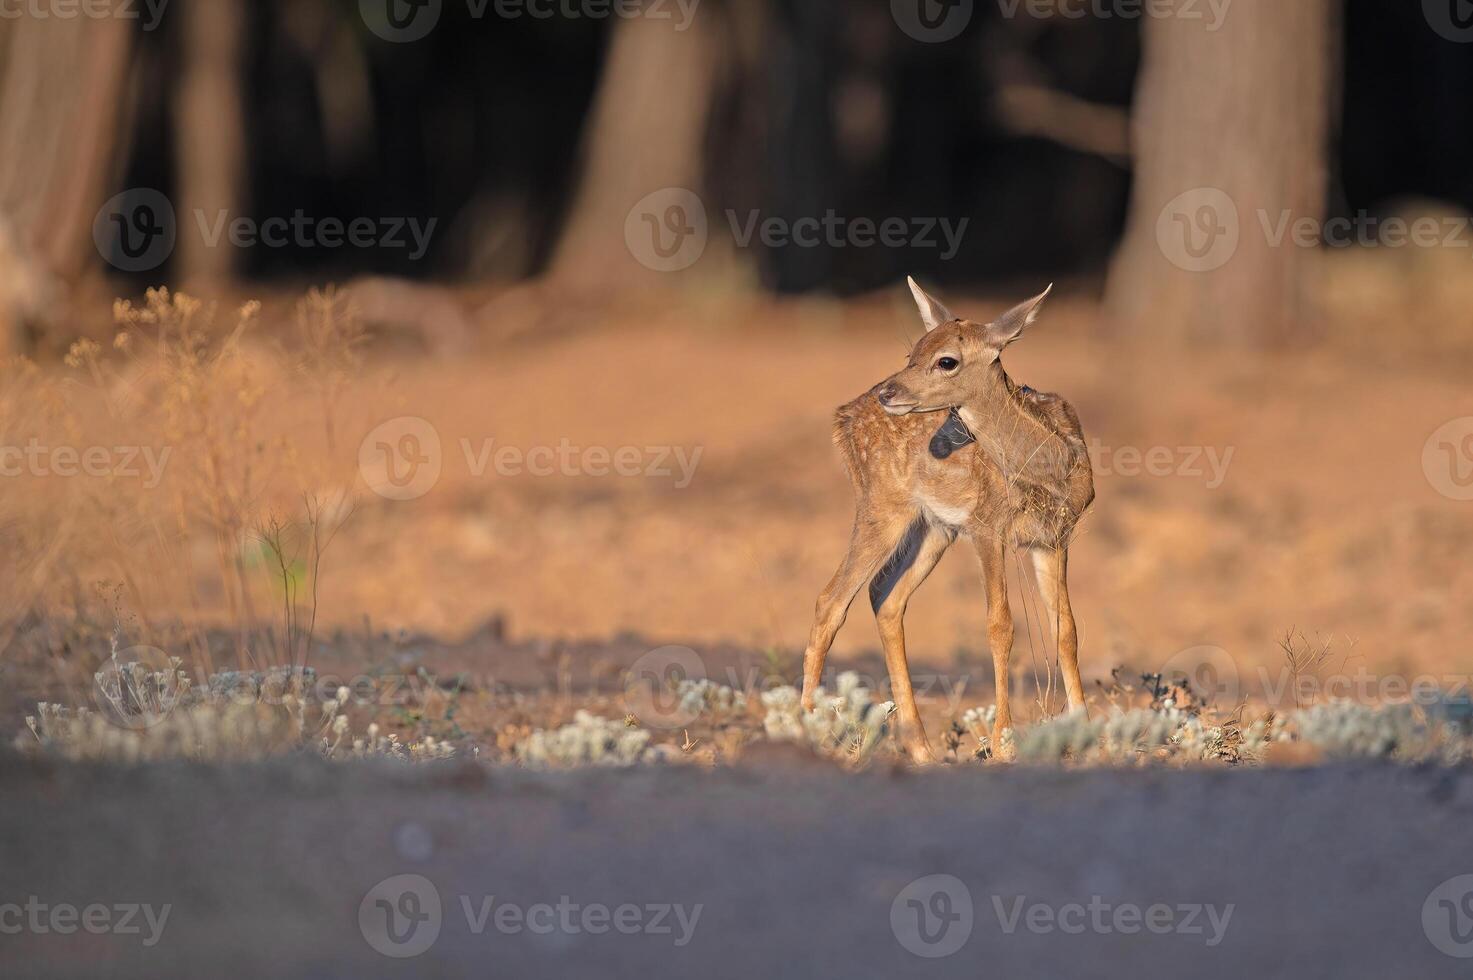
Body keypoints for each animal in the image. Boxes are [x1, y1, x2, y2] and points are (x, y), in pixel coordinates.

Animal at [807, 278, 1095, 760]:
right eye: (913, 352)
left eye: (946, 360)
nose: (889, 392)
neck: (1049, 465)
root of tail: (843, 416)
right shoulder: (986, 526)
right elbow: (1001, 626)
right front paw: (1003, 743)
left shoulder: (1054, 537)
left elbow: (1066, 630)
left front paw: (1089, 735)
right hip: (882, 506)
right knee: (830, 600)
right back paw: (804, 728)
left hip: (933, 528)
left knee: (885, 596)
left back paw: (922, 749)